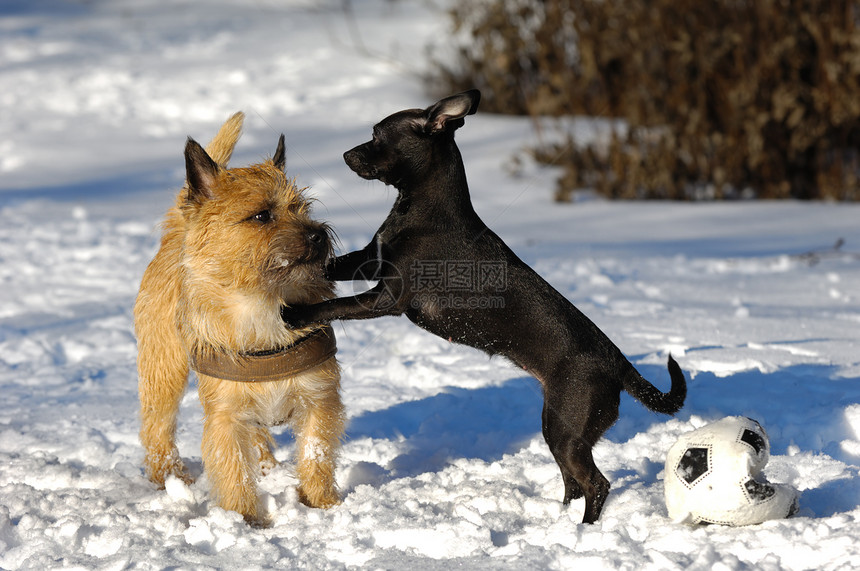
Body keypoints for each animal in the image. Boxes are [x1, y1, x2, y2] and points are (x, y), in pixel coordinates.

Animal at [134, 113, 342, 528]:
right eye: (262, 215)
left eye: (302, 207)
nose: (317, 235)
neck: (263, 304)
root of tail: (179, 230)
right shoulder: (225, 416)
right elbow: (232, 469)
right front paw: (245, 519)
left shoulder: (318, 398)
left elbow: (316, 452)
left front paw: (321, 504)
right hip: (164, 368)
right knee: (157, 427)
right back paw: (170, 477)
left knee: (258, 439)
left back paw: (267, 467)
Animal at [282, 91, 684, 524]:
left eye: (376, 134)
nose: (345, 154)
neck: (422, 209)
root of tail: (617, 363)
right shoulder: (369, 262)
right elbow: (331, 268)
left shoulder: (386, 297)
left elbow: (335, 305)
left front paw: (296, 314)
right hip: (556, 427)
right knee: (574, 482)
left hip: (568, 428)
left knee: (596, 484)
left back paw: (583, 530)